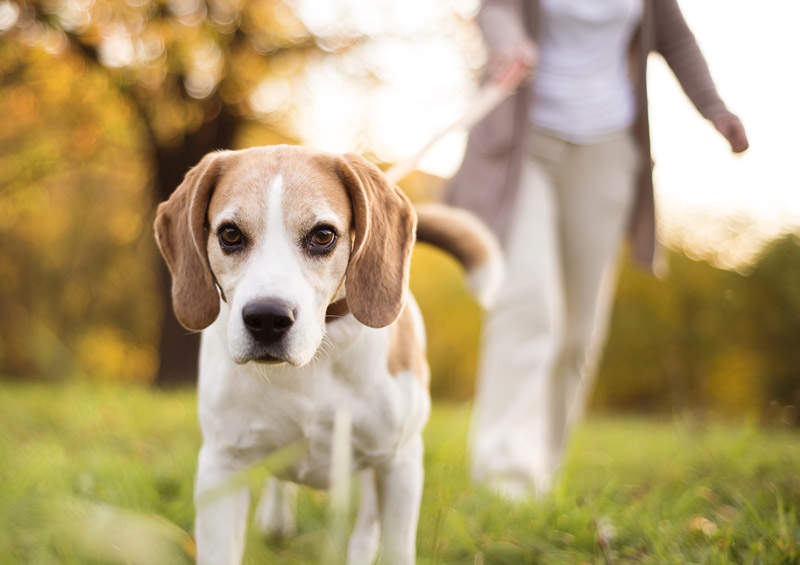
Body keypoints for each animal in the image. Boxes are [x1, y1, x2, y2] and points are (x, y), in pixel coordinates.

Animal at [154, 147, 504, 564]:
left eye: (323, 235)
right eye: (230, 234)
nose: (267, 318)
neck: (315, 359)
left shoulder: (399, 464)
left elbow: (395, 546)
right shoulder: (221, 466)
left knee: (366, 528)